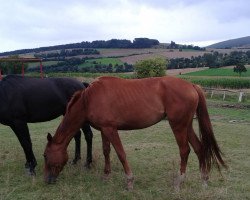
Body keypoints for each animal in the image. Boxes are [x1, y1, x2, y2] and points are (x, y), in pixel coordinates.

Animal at [43, 76, 227, 190]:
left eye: (45, 155)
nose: (47, 180)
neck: (89, 99)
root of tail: (192, 85)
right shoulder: (104, 130)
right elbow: (106, 151)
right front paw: (106, 176)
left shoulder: (111, 129)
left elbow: (121, 153)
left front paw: (129, 182)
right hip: (187, 125)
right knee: (199, 148)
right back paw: (204, 180)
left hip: (178, 126)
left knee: (185, 151)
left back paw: (179, 182)